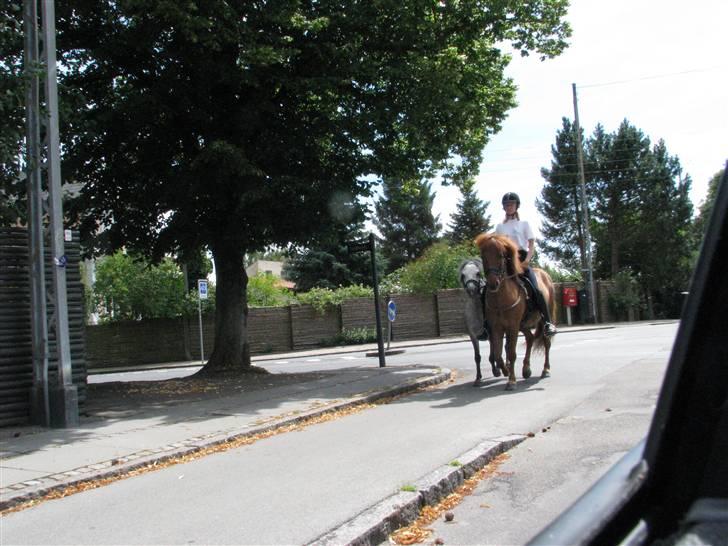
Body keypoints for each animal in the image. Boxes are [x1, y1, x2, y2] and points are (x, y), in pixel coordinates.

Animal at [472, 232, 556, 388]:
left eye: (501, 255)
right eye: (483, 255)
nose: (493, 282)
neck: (502, 298)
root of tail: (545, 274)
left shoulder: (512, 326)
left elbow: (511, 353)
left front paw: (511, 381)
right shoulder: (497, 327)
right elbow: (498, 354)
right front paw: (505, 371)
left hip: (541, 320)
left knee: (546, 341)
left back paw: (545, 369)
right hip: (522, 325)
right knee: (530, 338)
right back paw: (526, 369)